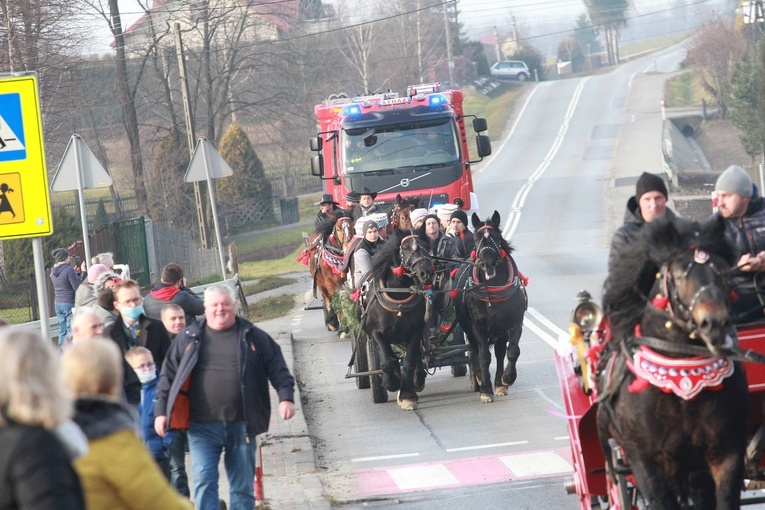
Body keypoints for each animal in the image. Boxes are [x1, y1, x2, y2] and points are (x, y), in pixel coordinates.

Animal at [360, 227, 432, 410]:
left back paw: (417, 379)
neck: (398, 296)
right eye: (405, 248)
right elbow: (387, 362)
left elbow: (409, 361)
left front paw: (407, 395)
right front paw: (391, 383)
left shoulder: (415, 332)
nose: (426, 273)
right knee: (390, 358)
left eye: (426, 246)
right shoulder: (376, 333)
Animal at [454, 210, 524, 402]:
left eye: (496, 237)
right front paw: (485, 389)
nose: (488, 264)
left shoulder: (514, 323)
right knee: (475, 352)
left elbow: (513, 351)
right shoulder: (477, 327)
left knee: (500, 352)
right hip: (470, 330)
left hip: (500, 331)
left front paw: (507, 378)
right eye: (477, 239)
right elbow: (484, 356)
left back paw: (499, 383)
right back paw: (479, 379)